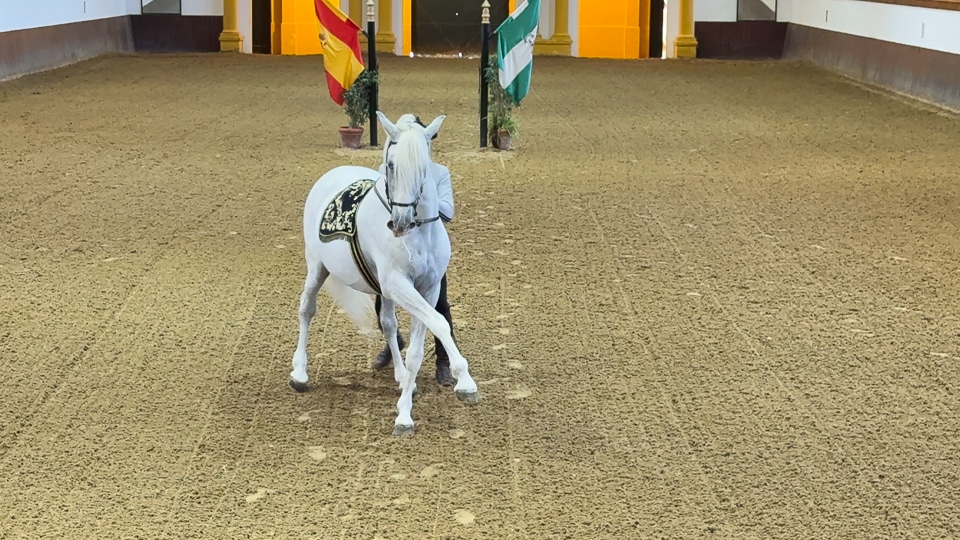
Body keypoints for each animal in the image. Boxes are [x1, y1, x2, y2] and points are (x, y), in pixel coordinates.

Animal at [289, 111, 480, 436]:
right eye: (391, 165)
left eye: (423, 167)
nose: (400, 222)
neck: (420, 234)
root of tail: (333, 173)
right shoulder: (399, 284)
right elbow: (440, 323)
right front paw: (464, 383)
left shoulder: (427, 289)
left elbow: (418, 346)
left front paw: (405, 410)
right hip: (317, 267)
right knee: (306, 310)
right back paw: (299, 374)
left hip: (382, 289)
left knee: (389, 325)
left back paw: (403, 379)